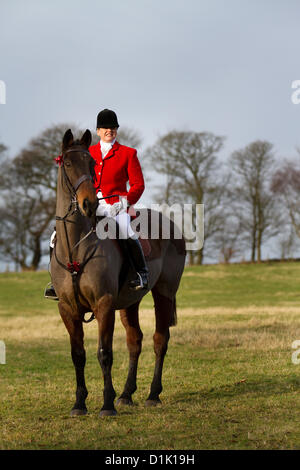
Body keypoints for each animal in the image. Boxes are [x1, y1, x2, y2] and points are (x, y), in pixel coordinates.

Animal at [52, 129, 185, 414]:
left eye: (92, 164)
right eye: (67, 163)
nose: (89, 204)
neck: (76, 247)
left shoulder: (104, 304)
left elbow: (105, 353)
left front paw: (106, 404)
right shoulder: (67, 308)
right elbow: (78, 354)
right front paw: (79, 403)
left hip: (164, 292)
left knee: (160, 339)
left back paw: (152, 394)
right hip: (129, 302)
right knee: (135, 340)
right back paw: (126, 394)